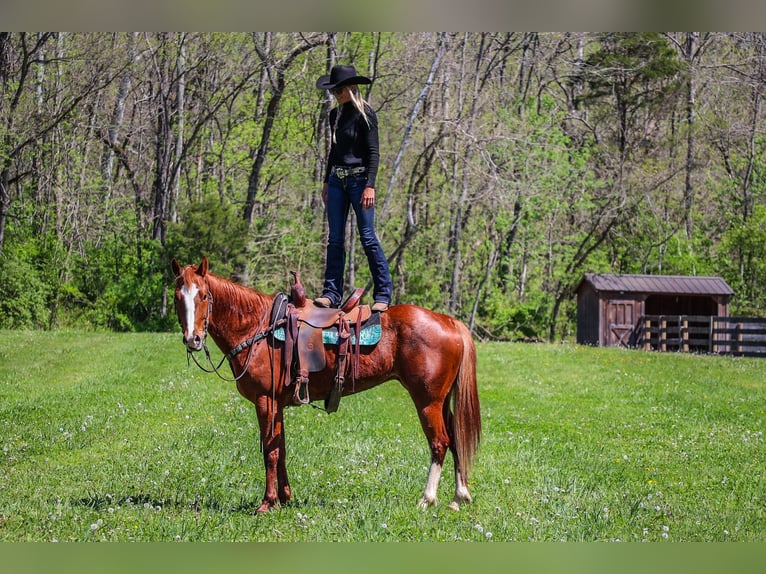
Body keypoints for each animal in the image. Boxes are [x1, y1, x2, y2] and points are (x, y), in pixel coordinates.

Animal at [172, 256, 480, 512]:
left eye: (203, 295)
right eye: (177, 297)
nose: (193, 339)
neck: (257, 327)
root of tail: (449, 321)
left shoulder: (265, 401)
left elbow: (270, 452)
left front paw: (267, 503)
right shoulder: (278, 404)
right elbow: (281, 448)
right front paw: (285, 497)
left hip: (427, 401)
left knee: (440, 442)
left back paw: (427, 499)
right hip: (442, 401)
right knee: (455, 438)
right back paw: (459, 497)